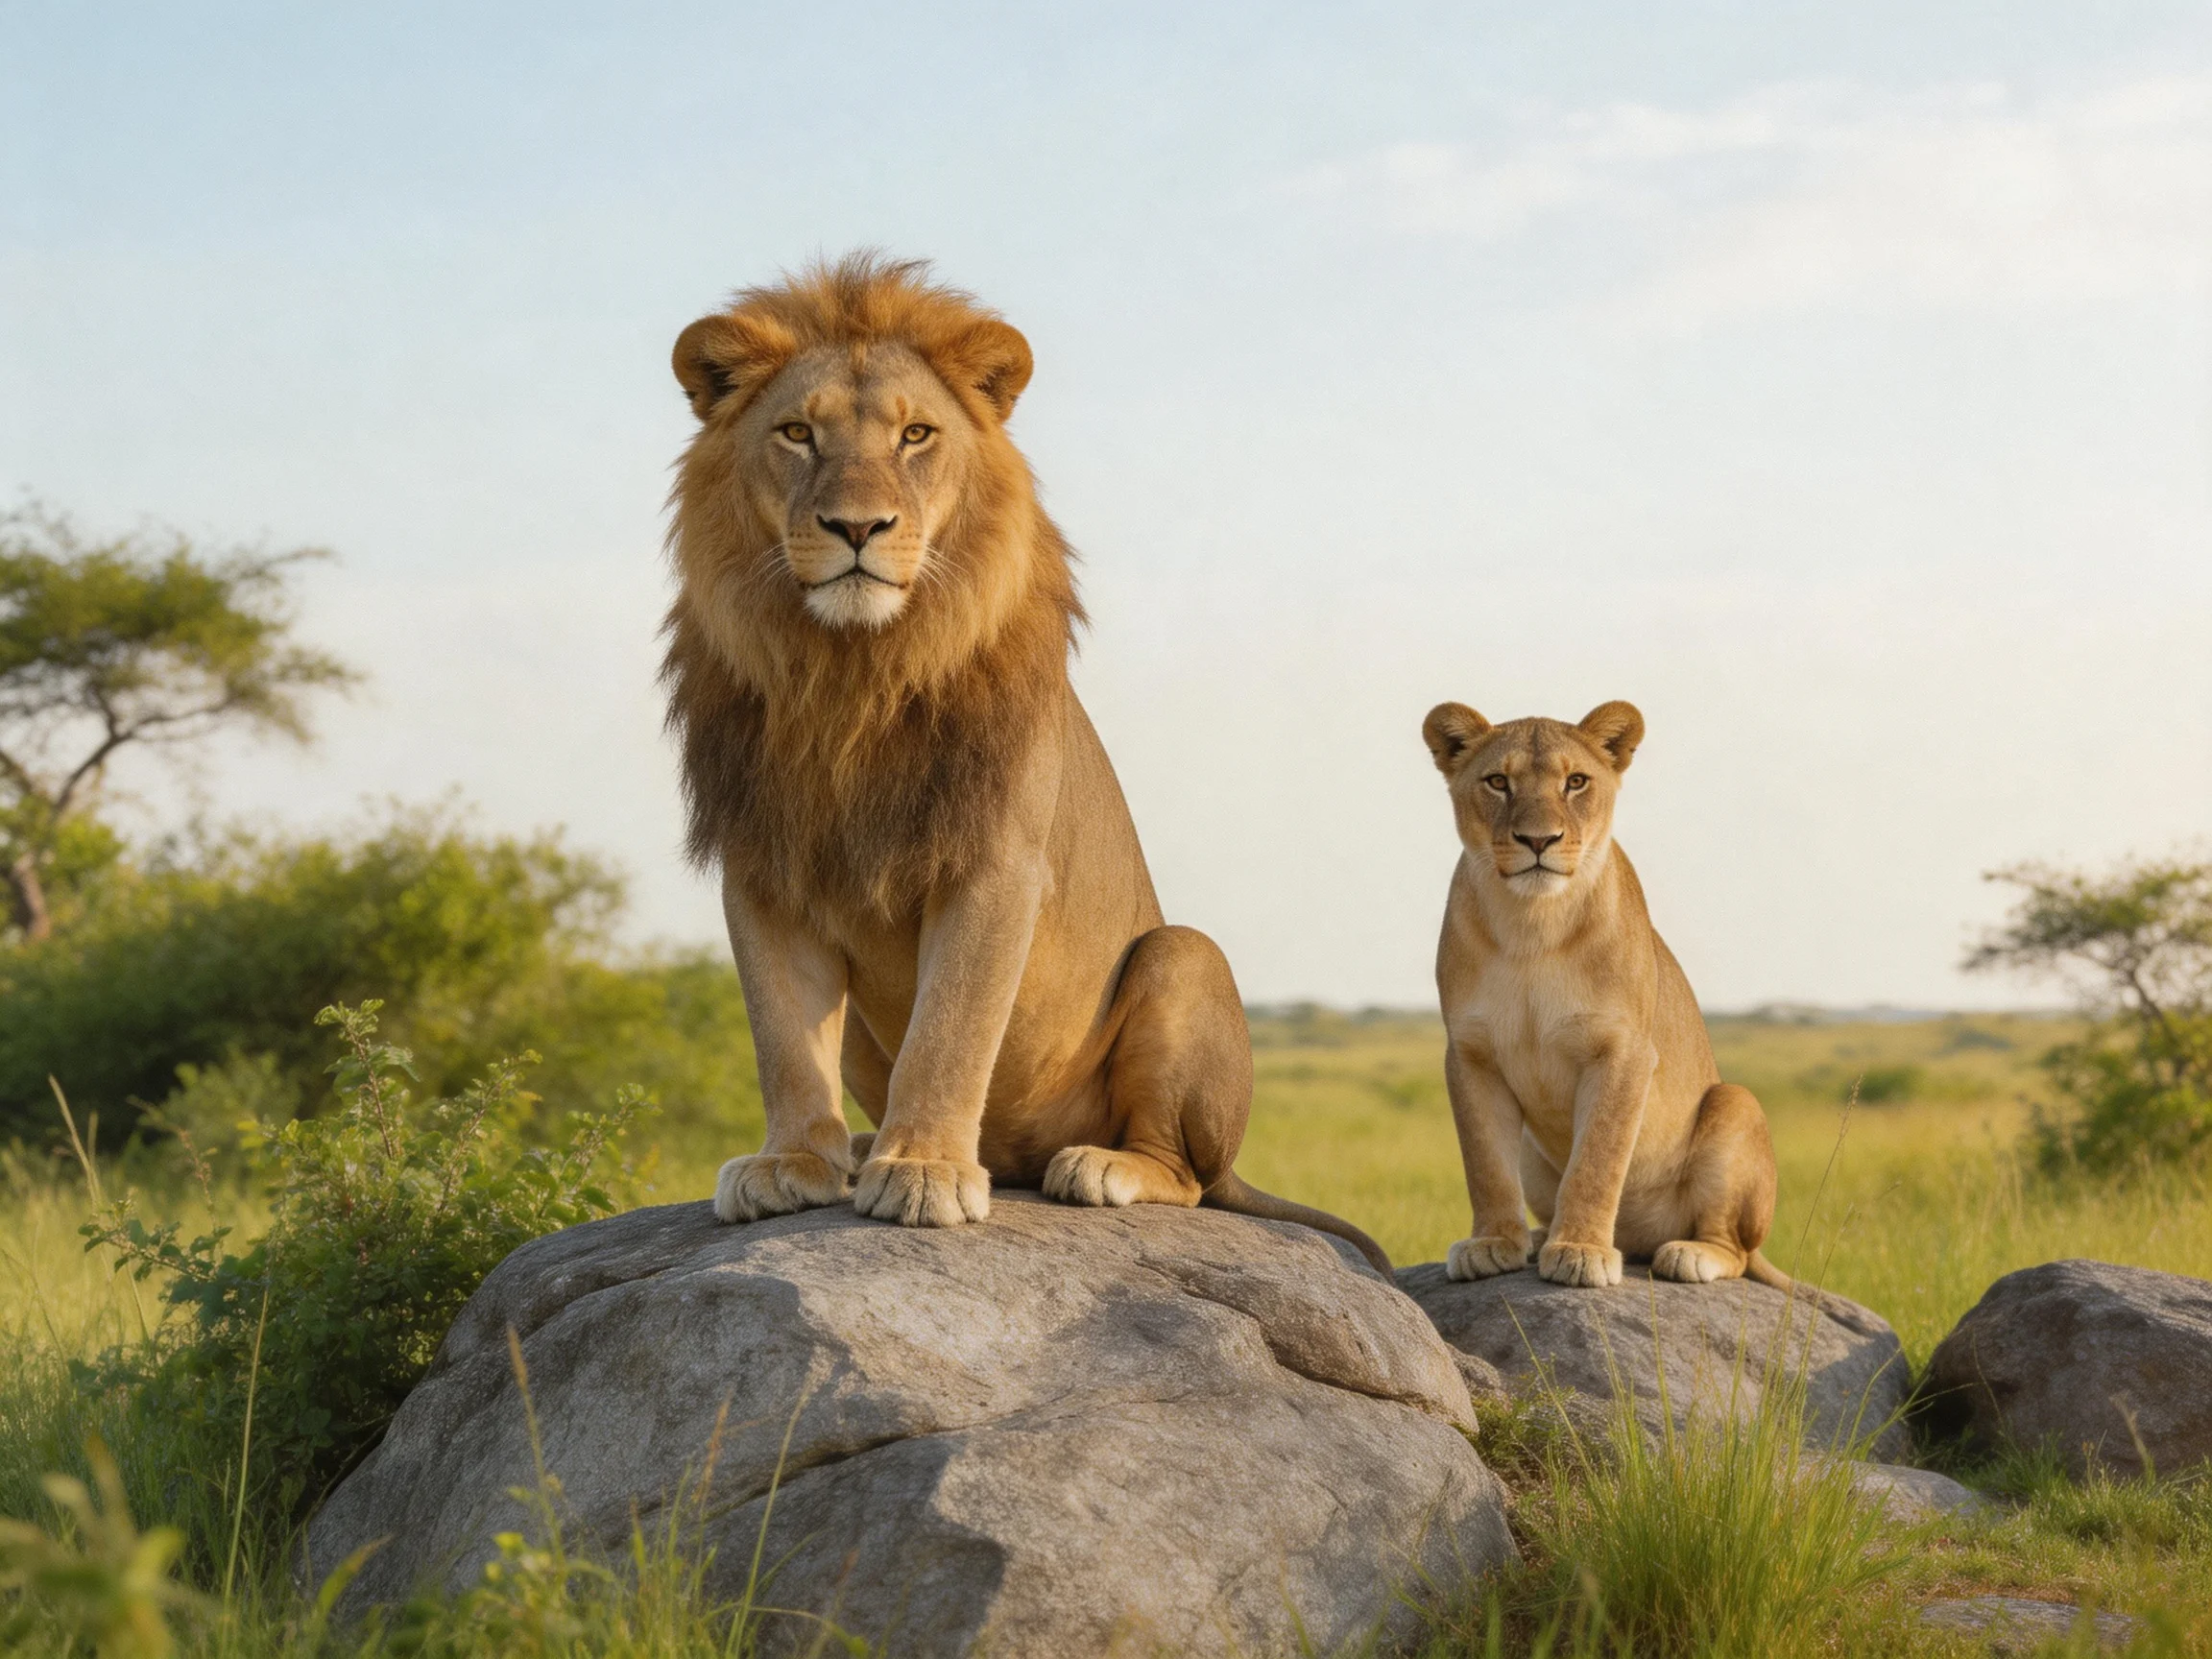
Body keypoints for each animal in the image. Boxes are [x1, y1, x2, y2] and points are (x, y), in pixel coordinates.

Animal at [662, 253, 1388, 1271]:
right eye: (798, 433)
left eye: (916, 435)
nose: (857, 528)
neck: (849, 673)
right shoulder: (764, 865)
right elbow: (780, 1034)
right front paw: (793, 1162)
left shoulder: (996, 861)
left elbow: (951, 1029)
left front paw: (925, 1170)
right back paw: (860, 1147)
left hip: (1180, 957)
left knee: (1188, 1177)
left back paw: (1095, 1167)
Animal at [1421, 698, 1790, 1291]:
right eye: (1498, 781)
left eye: (1575, 782)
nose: (1539, 840)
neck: (1533, 927)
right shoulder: (1471, 1052)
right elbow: (1485, 1163)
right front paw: (1492, 1243)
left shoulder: (1624, 1050)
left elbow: (1597, 1158)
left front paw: (1581, 1251)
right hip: (1532, 1151)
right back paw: (1535, 1237)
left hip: (1734, 1102)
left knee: (1734, 1248)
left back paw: (1686, 1254)